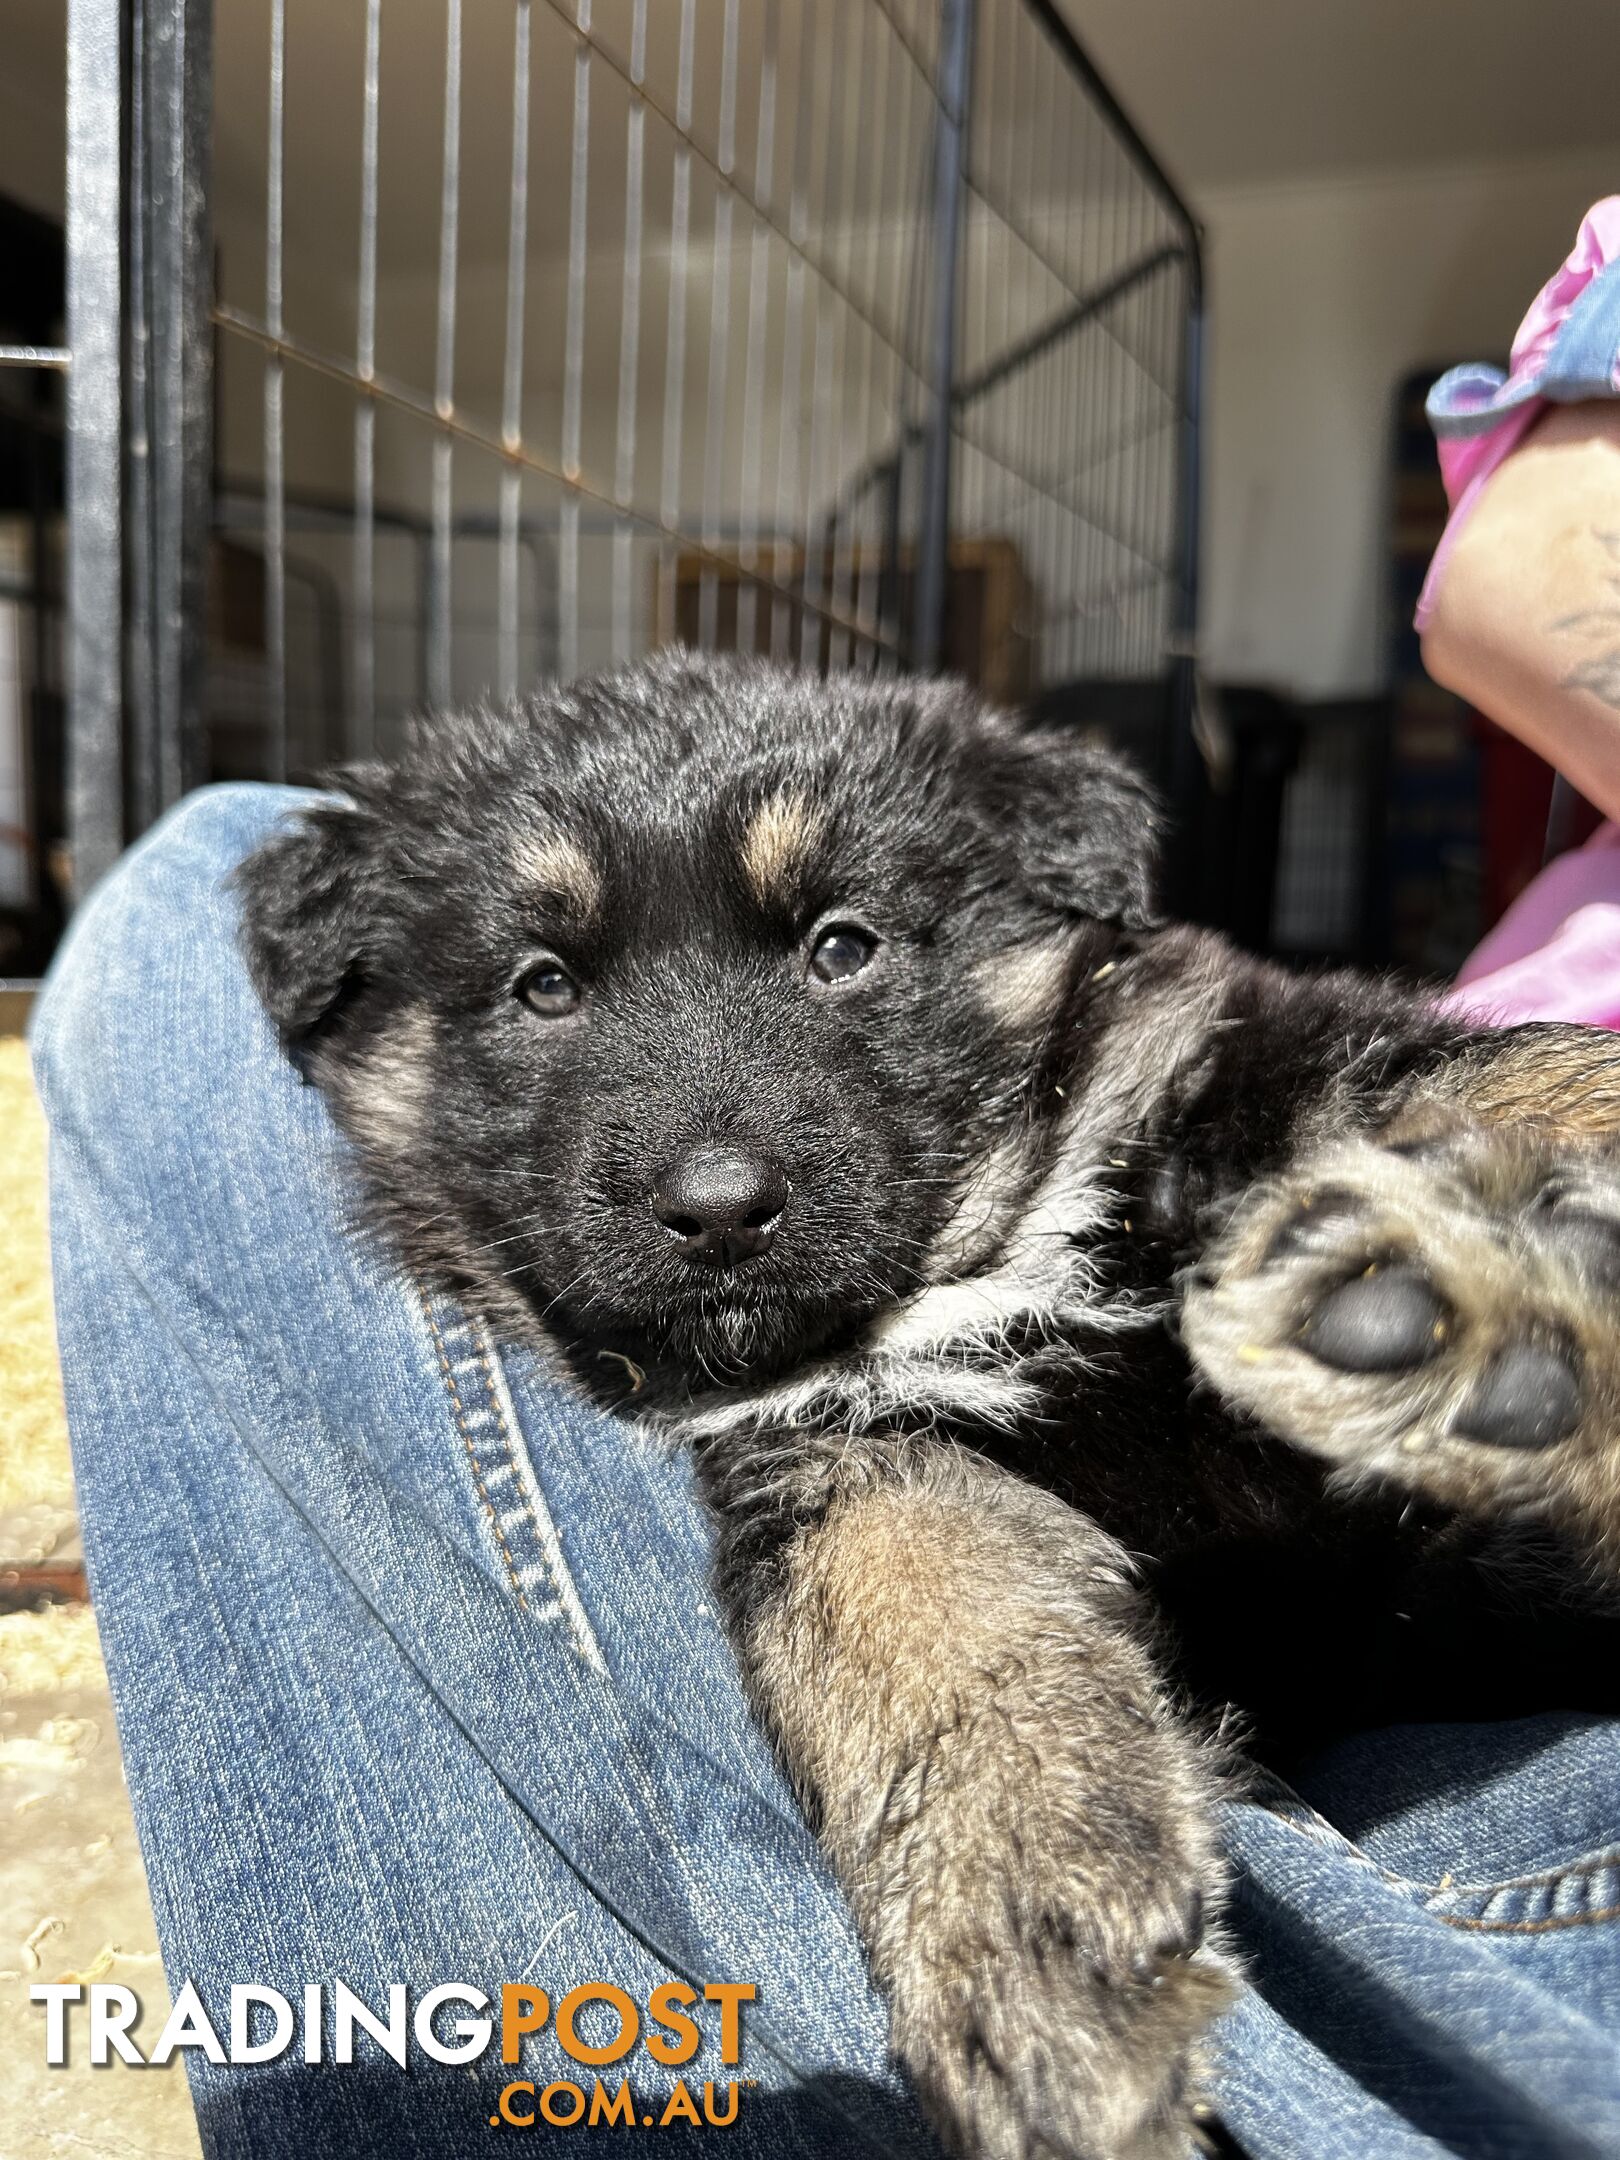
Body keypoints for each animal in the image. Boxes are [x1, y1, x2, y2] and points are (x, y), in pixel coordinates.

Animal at [234, 652, 1620, 2160]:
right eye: (542, 987)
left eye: (843, 947)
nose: (719, 1210)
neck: (975, 1260)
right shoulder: (835, 1451)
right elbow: (915, 1619)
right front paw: (1023, 1910)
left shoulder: (1254, 1056)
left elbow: (1492, 1073)